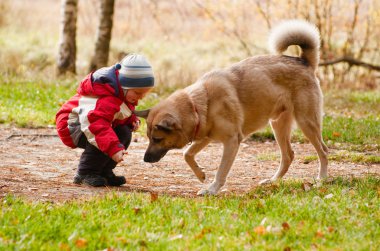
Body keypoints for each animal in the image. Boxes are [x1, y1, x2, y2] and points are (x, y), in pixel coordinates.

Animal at [135, 20, 328, 195]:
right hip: (278, 125)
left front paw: (212, 189)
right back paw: (273, 181)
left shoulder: (231, 141)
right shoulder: (205, 137)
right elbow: (187, 154)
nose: (145, 159)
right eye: (148, 137)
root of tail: (303, 61)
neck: (198, 105)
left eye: (157, 139)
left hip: (306, 122)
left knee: (323, 151)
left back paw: (321, 180)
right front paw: (201, 175)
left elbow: (221, 171)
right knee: (288, 155)